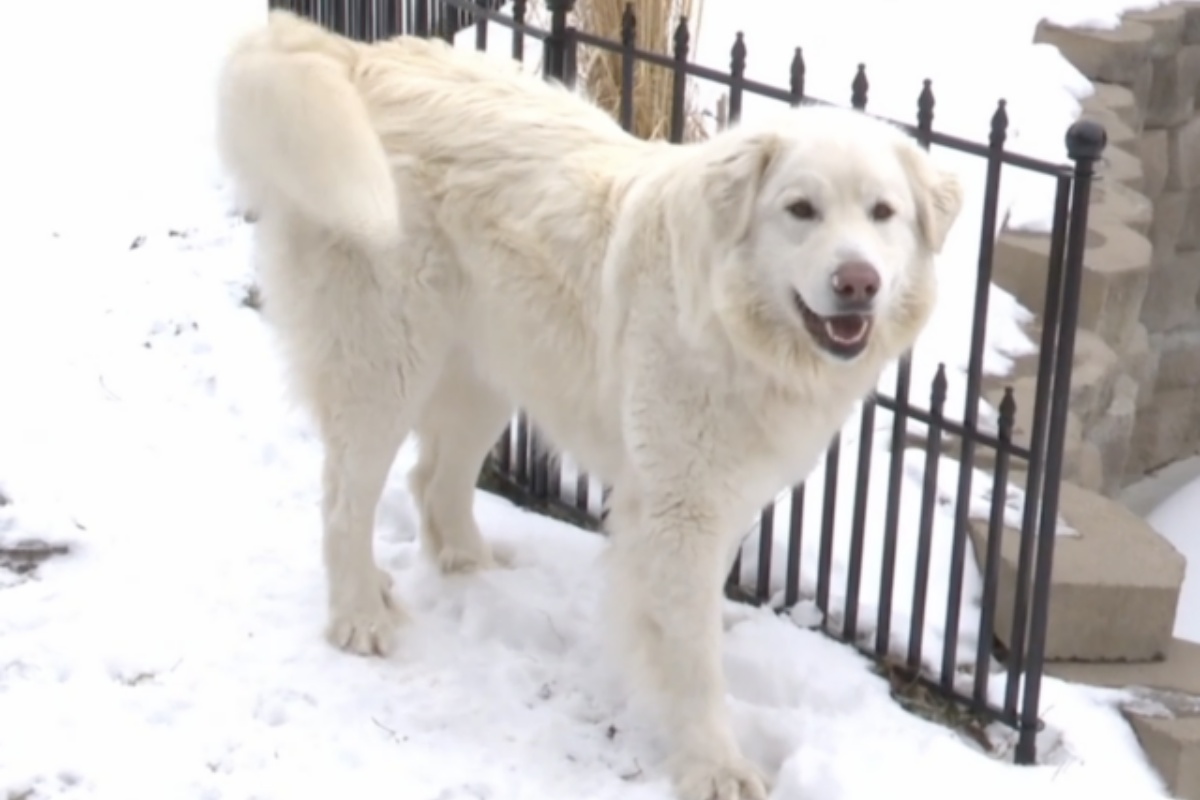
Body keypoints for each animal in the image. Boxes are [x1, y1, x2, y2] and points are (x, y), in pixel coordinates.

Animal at [218, 14, 964, 800]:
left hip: (492, 366)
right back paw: (359, 614)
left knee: (433, 480)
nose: (858, 283)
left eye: (883, 214)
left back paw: (472, 567)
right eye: (801, 211)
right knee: (344, 497)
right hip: (383, 367)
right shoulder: (679, 510)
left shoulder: (716, 495)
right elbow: (692, 659)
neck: (732, 325)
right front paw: (714, 765)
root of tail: (358, 57)